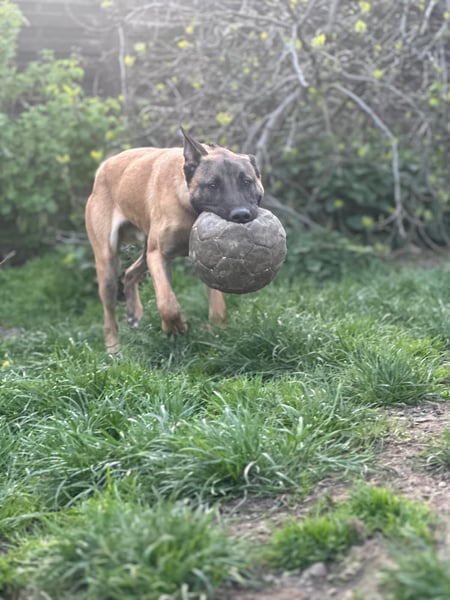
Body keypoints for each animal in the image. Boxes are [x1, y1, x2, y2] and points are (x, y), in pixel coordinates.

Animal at [85, 128, 264, 353]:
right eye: (213, 185)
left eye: (246, 181)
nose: (241, 215)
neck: (189, 207)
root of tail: (103, 168)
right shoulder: (158, 255)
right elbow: (167, 303)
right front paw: (175, 327)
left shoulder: (208, 261)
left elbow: (217, 306)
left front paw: (216, 331)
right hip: (108, 265)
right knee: (109, 316)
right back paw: (114, 350)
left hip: (144, 250)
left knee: (130, 272)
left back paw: (134, 314)